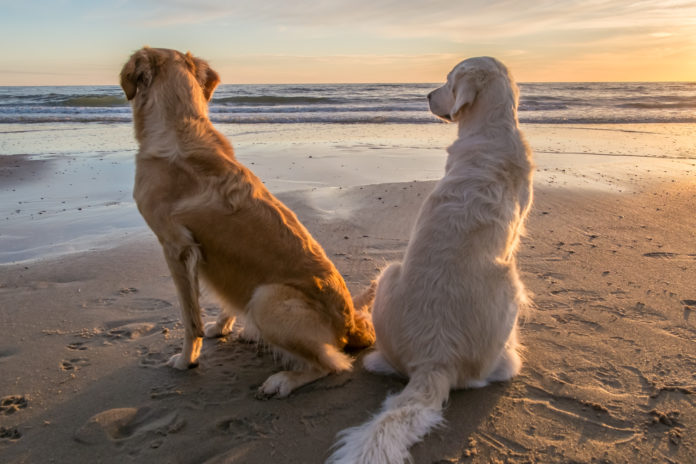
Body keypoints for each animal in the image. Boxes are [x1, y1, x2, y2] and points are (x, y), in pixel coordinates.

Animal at [122, 46, 378, 396]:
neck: (180, 124)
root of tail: (350, 326)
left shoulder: (175, 247)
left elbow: (190, 319)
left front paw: (187, 360)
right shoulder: (212, 259)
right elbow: (226, 298)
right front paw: (221, 327)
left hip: (267, 299)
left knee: (332, 364)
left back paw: (282, 381)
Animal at [326, 58, 532, 464]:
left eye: (449, 83)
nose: (425, 95)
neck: (491, 129)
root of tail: (436, 360)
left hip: (390, 278)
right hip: (509, 286)